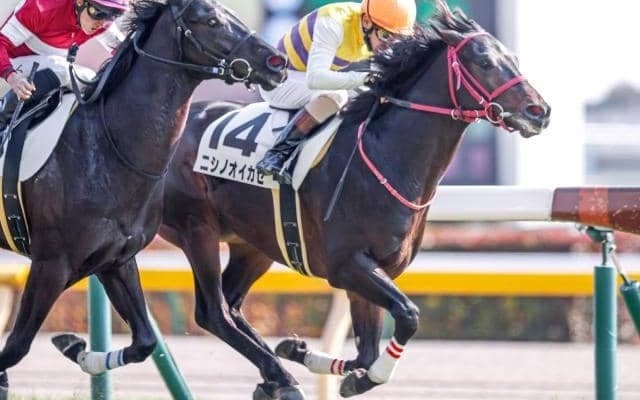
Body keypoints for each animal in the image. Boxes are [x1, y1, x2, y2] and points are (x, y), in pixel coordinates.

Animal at [0, 0, 286, 397]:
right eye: (211, 20)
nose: (276, 61)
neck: (105, 149)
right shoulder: (51, 264)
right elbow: (17, 345)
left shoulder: (114, 260)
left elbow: (145, 341)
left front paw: (77, 348)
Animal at [158, 1, 550, 399]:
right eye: (484, 61)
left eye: (513, 59)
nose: (539, 112)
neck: (385, 156)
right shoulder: (347, 264)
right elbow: (408, 317)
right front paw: (353, 376)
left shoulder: (373, 268)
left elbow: (367, 351)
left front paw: (303, 352)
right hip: (197, 230)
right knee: (214, 312)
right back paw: (279, 376)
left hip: (252, 244)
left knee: (233, 307)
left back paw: (273, 376)